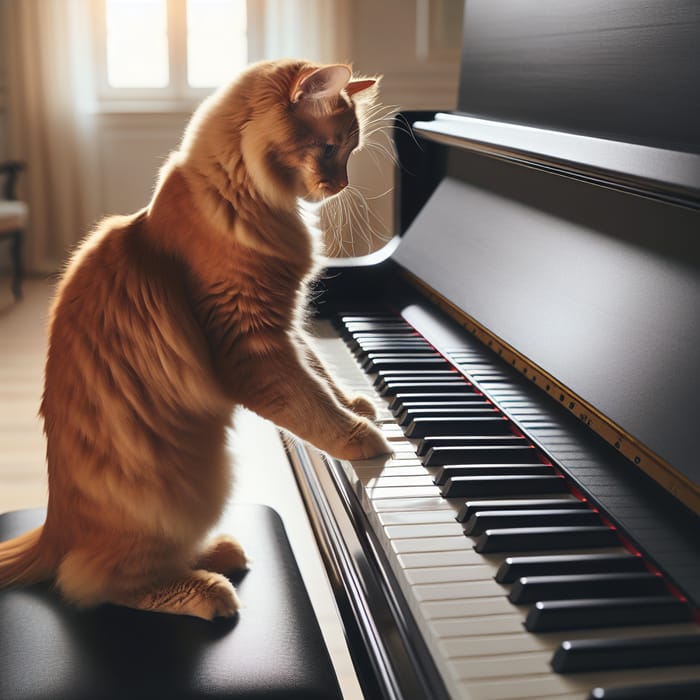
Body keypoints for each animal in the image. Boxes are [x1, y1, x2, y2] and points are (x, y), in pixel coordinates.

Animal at [0, 58, 392, 616]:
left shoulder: (286, 327)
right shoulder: (253, 347)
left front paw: (357, 404)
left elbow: (319, 372)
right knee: (96, 582)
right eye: (330, 149)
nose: (339, 186)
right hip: (189, 495)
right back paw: (209, 588)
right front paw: (364, 438)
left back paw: (221, 553)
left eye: (350, 152)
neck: (244, 198)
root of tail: (56, 525)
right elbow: (310, 404)